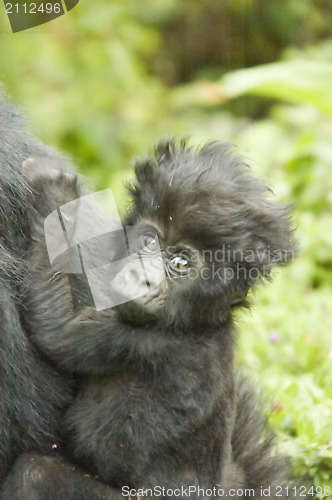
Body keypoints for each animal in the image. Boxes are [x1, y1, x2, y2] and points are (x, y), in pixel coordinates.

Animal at [13, 142, 296, 500]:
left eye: (180, 263)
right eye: (149, 242)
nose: (141, 277)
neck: (200, 321)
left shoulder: (146, 340)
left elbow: (55, 331)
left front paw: (54, 190)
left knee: (32, 474)